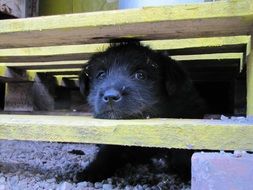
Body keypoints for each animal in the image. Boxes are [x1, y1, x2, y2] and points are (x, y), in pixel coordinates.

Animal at [78, 40, 207, 183]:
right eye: (101, 75)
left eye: (140, 75)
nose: (110, 96)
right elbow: (109, 149)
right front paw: (92, 171)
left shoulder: (189, 109)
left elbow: (184, 144)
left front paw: (186, 169)